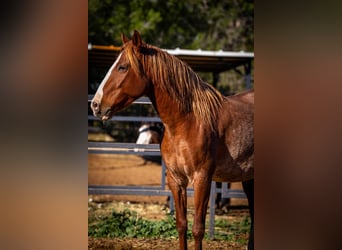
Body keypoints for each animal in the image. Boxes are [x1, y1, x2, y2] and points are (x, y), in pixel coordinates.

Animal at [91, 31, 254, 250]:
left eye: (122, 67)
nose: (95, 105)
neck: (187, 123)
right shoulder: (176, 180)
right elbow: (181, 224)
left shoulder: (202, 179)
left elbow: (198, 228)